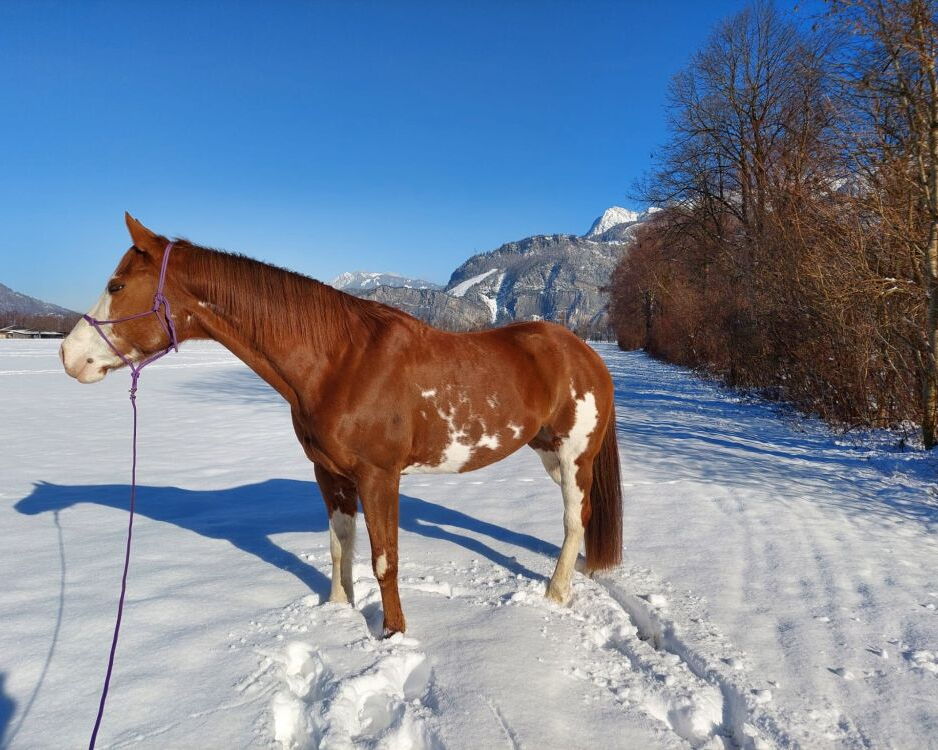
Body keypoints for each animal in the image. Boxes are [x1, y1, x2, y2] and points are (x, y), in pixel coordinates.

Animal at [60, 214, 620, 636]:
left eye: (116, 285)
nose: (68, 356)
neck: (341, 362)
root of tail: (583, 351)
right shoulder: (330, 475)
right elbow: (339, 547)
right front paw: (337, 613)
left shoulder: (379, 478)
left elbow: (384, 559)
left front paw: (393, 634)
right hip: (546, 451)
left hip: (574, 455)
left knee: (575, 519)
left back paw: (556, 592)